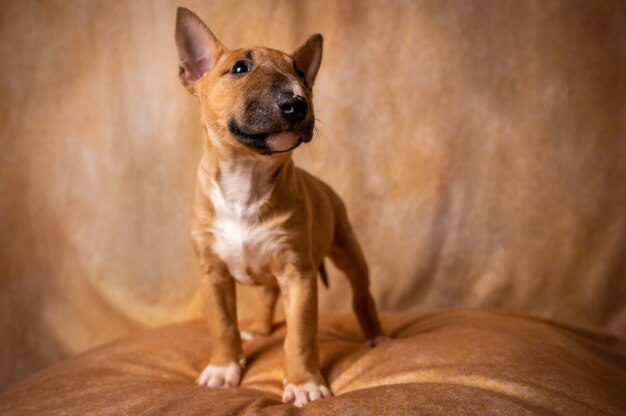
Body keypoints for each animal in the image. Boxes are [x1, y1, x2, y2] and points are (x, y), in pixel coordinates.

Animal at [173, 8, 382, 408]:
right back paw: (257, 329)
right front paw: (224, 368)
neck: (247, 177)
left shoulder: (298, 275)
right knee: (267, 293)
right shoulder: (212, 274)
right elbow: (222, 324)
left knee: (361, 292)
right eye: (239, 68)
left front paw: (304, 384)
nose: (297, 102)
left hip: (347, 248)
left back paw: (376, 336)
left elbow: (299, 335)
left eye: (300, 71)